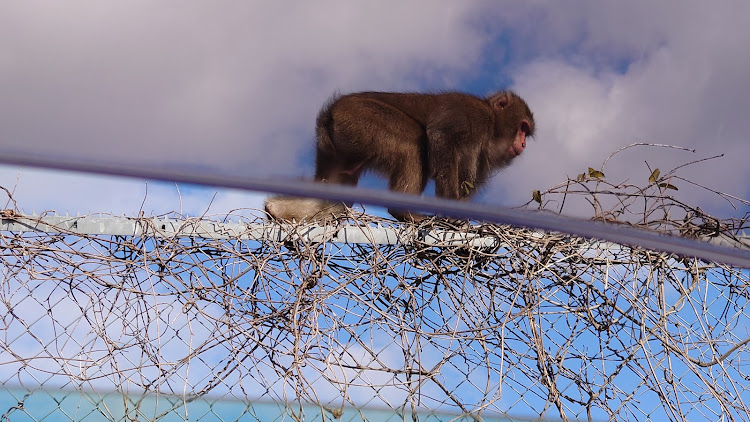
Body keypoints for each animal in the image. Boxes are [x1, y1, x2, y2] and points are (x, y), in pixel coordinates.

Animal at [264, 90, 536, 223]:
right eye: (522, 127)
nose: (522, 144)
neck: (492, 125)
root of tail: (330, 113)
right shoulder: (471, 114)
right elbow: (441, 136)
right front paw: (451, 212)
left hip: (340, 146)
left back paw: (277, 210)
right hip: (358, 118)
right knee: (413, 143)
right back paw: (403, 212)